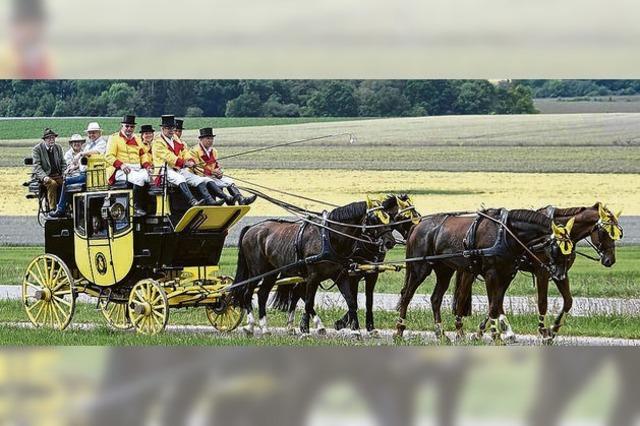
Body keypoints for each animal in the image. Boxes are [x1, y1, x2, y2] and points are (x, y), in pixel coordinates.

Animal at [230, 196, 400, 336]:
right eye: (374, 219)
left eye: (389, 219)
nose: (390, 242)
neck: (329, 238)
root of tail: (251, 229)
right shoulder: (313, 277)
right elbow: (308, 302)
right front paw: (306, 331)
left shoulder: (341, 276)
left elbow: (352, 302)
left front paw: (356, 331)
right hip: (257, 271)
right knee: (247, 293)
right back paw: (250, 326)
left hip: (271, 273)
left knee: (262, 294)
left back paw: (265, 328)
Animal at [396, 208, 576, 344]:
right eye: (555, 249)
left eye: (569, 252)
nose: (560, 276)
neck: (506, 234)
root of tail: (418, 224)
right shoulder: (491, 275)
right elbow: (494, 306)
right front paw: (496, 336)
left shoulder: (507, 275)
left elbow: (495, 305)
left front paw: (487, 333)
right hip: (420, 268)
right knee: (407, 296)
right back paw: (399, 330)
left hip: (444, 270)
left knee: (435, 299)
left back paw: (441, 334)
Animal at [450, 202, 620, 342]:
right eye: (605, 232)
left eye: (618, 233)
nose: (610, 260)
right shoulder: (542, 272)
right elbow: (542, 302)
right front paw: (544, 332)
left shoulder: (560, 273)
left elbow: (568, 301)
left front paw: (553, 329)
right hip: (471, 271)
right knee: (464, 294)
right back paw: (460, 329)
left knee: (496, 299)